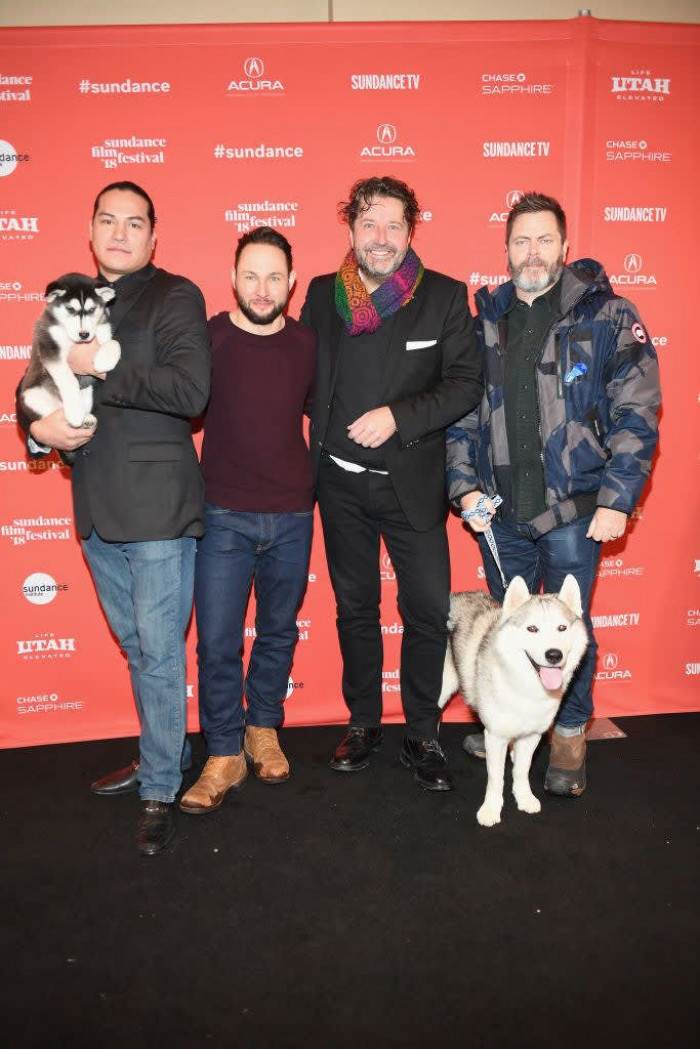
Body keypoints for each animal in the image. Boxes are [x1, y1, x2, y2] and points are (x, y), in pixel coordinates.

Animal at [20, 274, 121, 434]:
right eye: (70, 309)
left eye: (92, 309)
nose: (84, 334)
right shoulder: (50, 347)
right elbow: (69, 380)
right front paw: (75, 413)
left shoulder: (104, 332)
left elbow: (114, 342)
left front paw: (104, 361)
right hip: (32, 396)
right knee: (51, 413)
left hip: (87, 393)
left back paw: (86, 418)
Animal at [440, 574, 587, 826]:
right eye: (532, 629)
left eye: (562, 628)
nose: (554, 655)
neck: (526, 686)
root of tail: (454, 595)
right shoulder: (495, 737)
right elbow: (496, 777)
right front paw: (491, 809)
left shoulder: (532, 736)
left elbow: (521, 770)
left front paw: (524, 797)